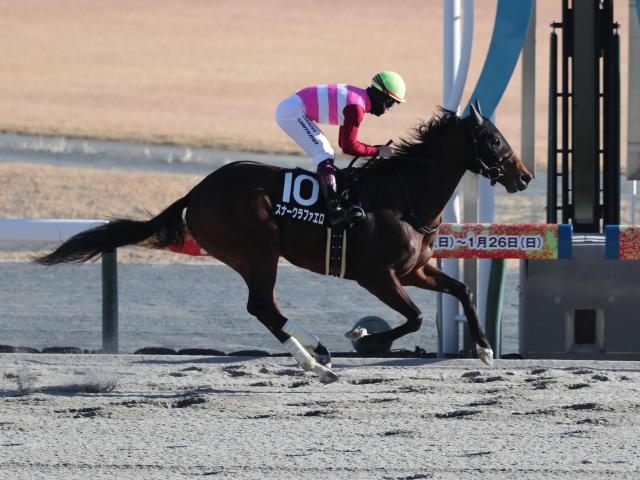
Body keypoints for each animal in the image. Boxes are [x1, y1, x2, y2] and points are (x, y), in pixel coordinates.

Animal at [35, 103, 532, 384]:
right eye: (493, 139)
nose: (525, 176)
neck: (404, 197)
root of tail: (196, 192)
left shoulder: (414, 269)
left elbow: (461, 291)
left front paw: (485, 350)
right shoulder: (376, 275)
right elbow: (413, 318)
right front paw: (364, 337)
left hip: (251, 255)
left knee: (266, 308)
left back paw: (316, 355)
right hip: (258, 249)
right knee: (262, 306)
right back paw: (316, 361)